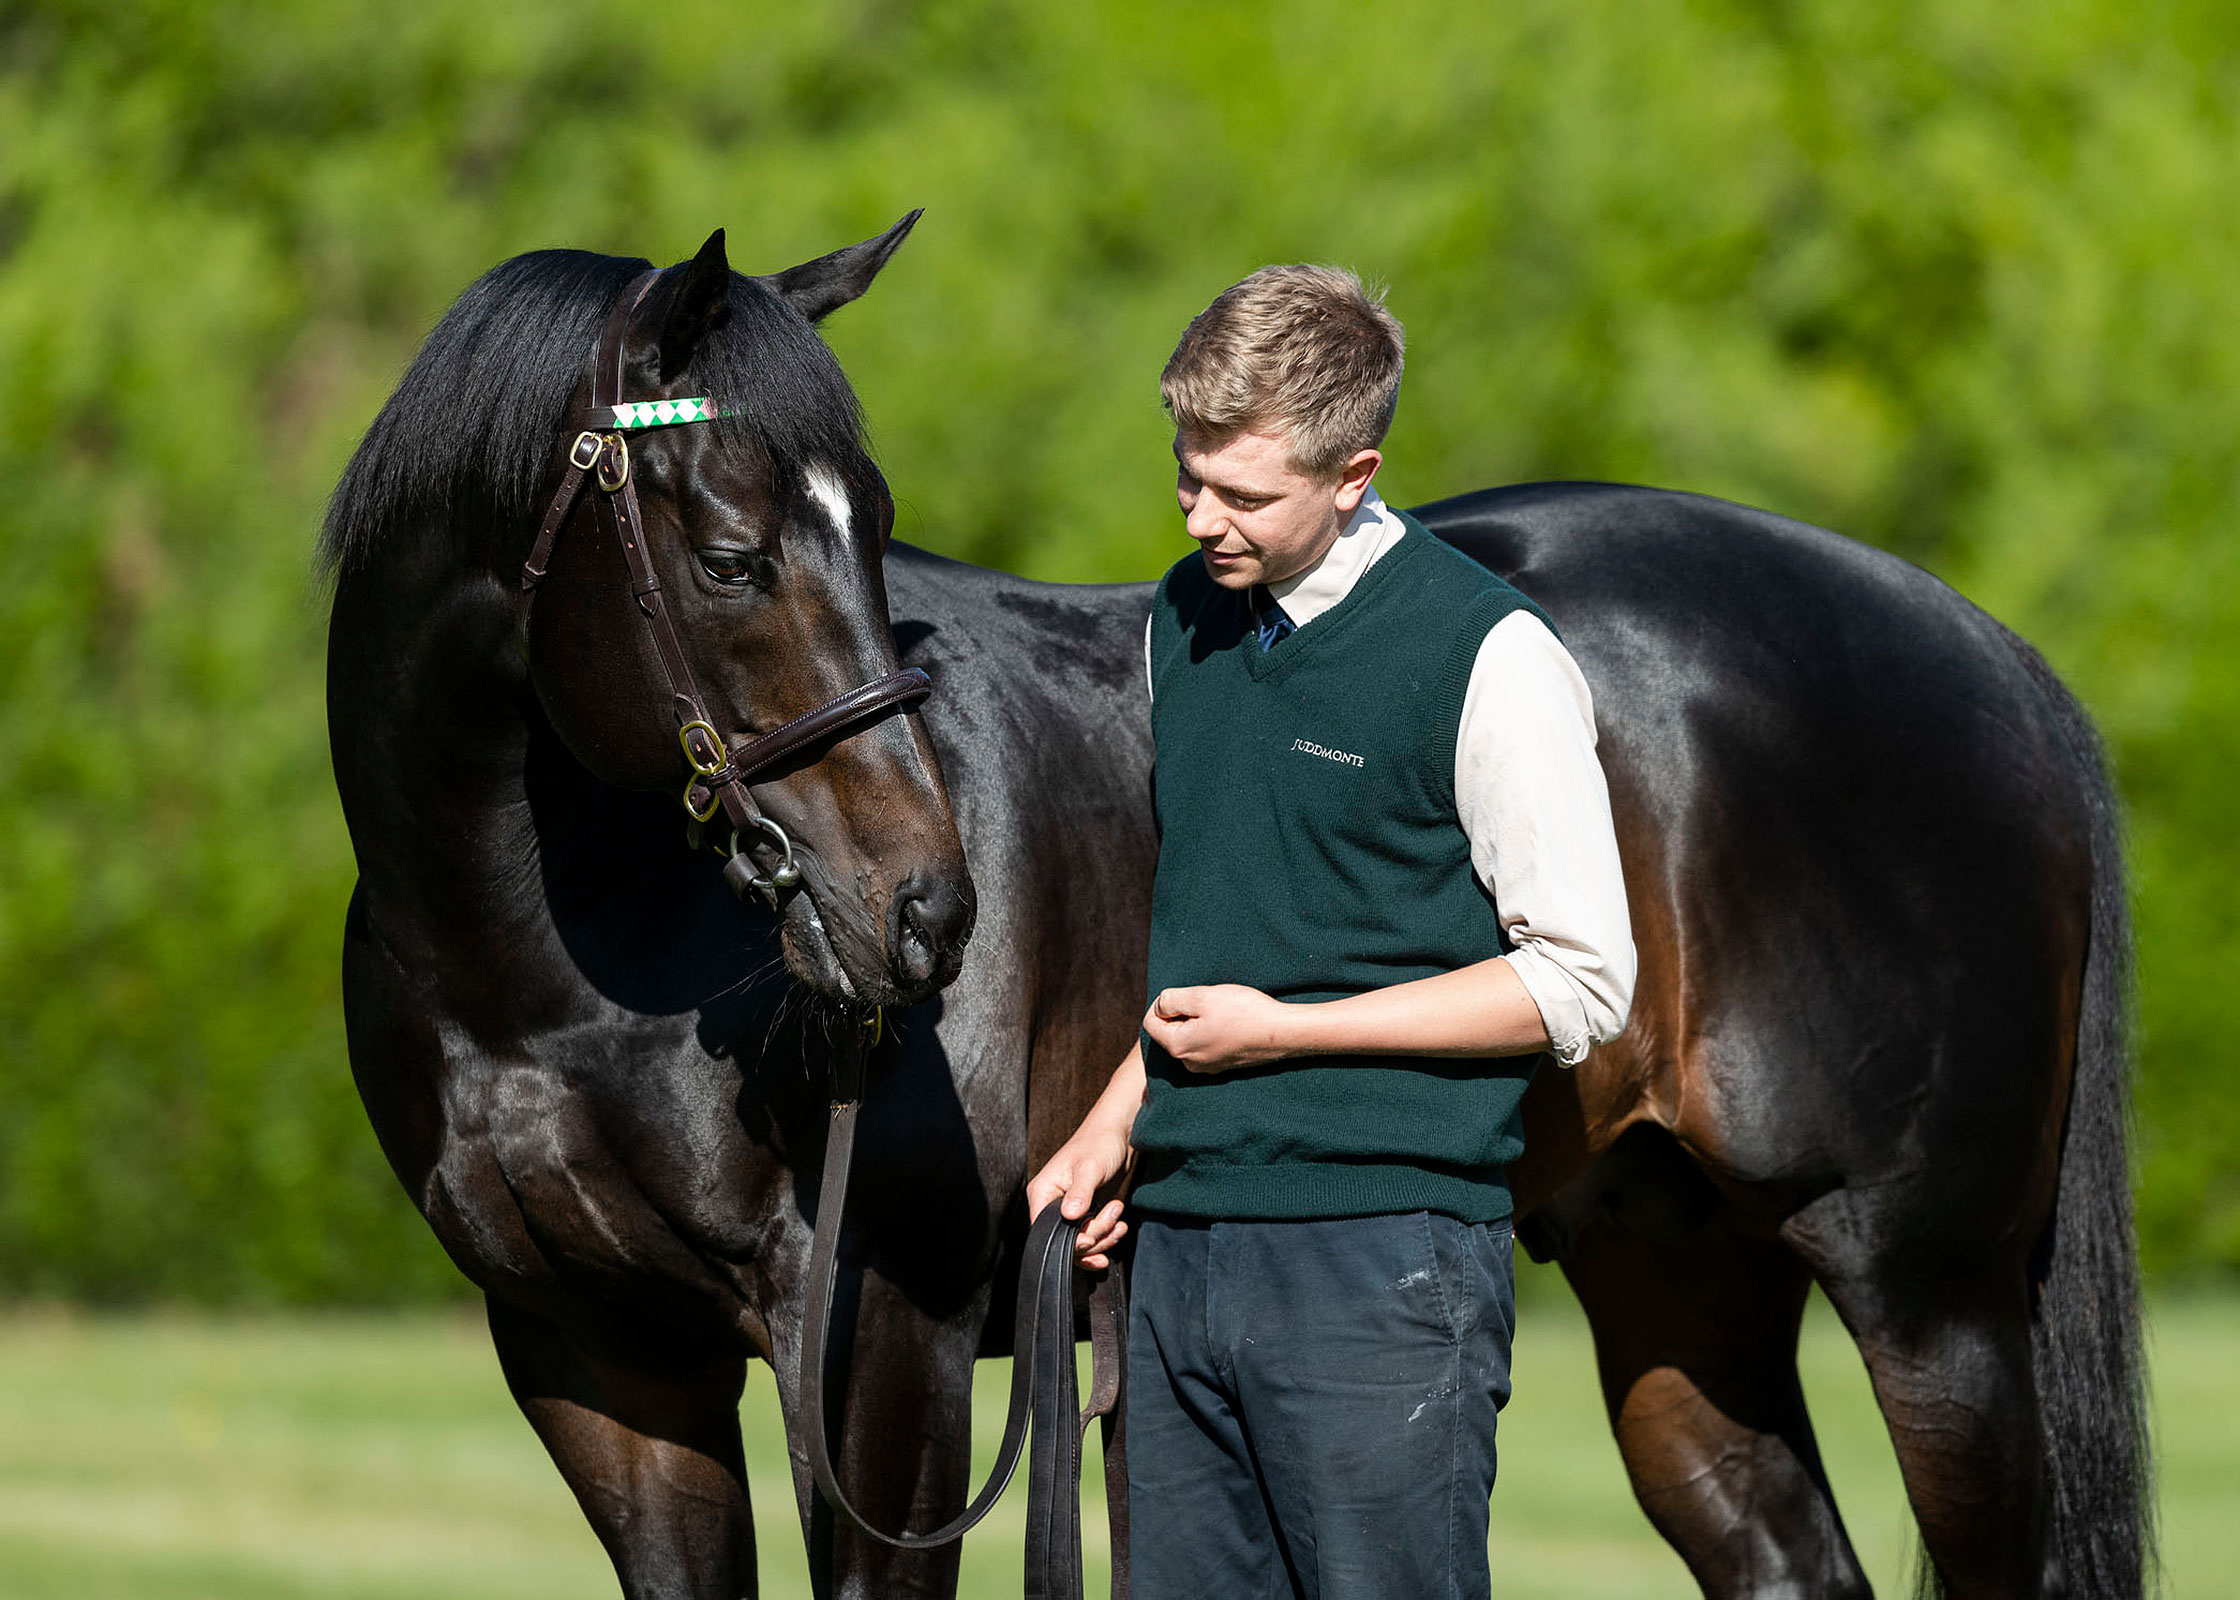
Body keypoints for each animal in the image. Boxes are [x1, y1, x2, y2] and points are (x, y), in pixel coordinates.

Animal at [324, 218, 2141, 1586]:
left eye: (875, 531)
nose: (920, 917)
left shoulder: (884, 1355)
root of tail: (1986, 655)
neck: (553, 981)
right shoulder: (599, 1368)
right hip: (1679, 1281)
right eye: (726, 557)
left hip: (1934, 1303)